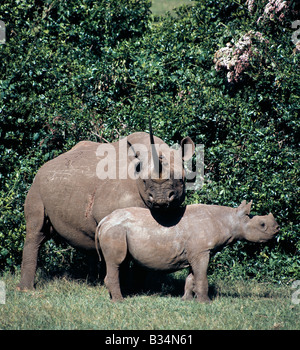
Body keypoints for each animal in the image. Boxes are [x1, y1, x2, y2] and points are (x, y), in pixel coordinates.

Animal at [95, 201, 278, 302]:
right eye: (262, 225)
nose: (277, 229)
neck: (230, 219)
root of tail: (104, 220)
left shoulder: (196, 252)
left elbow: (192, 277)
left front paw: (187, 300)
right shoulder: (202, 251)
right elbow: (202, 277)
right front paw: (206, 303)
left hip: (117, 229)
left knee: (120, 262)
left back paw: (113, 298)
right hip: (115, 230)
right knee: (116, 262)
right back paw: (119, 301)